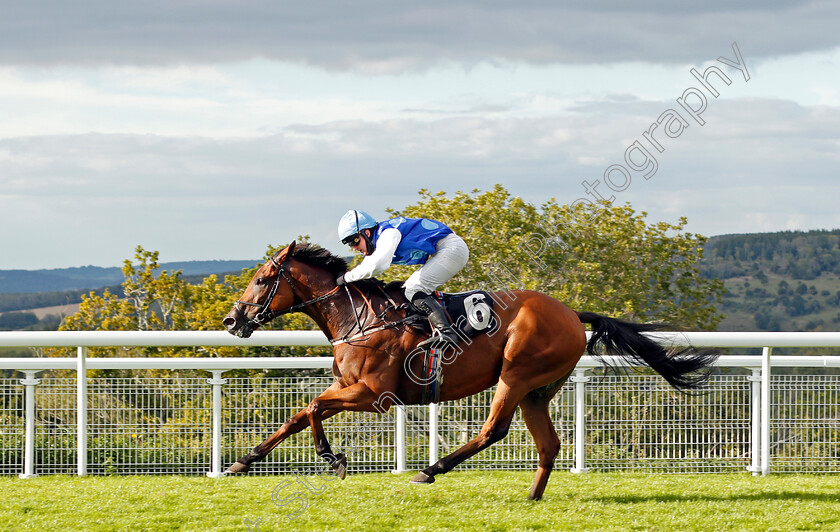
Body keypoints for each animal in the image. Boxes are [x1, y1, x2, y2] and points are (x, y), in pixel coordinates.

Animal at [221, 243, 716, 500]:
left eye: (262, 280)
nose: (232, 320)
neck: (358, 317)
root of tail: (573, 314)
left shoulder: (373, 394)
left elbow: (310, 408)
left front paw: (333, 458)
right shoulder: (348, 385)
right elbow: (297, 416)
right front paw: (242, 461)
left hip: (516, 374)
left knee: (492, 430)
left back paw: (430, 470)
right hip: (537, 390)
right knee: (549, 444)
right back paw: (532, 496)